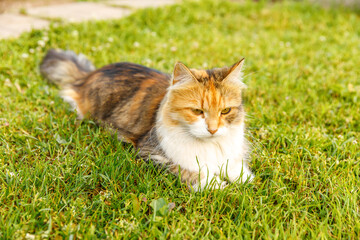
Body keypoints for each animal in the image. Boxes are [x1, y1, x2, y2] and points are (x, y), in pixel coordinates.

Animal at [40, 48, 255, 191]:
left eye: (225, 111)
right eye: (197, 111)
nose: (213, 130)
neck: (209, 145)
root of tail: (89, 74)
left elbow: (235, 168)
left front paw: (246, 179)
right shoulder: (153, 154)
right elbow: (193, 171)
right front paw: (218, 185)